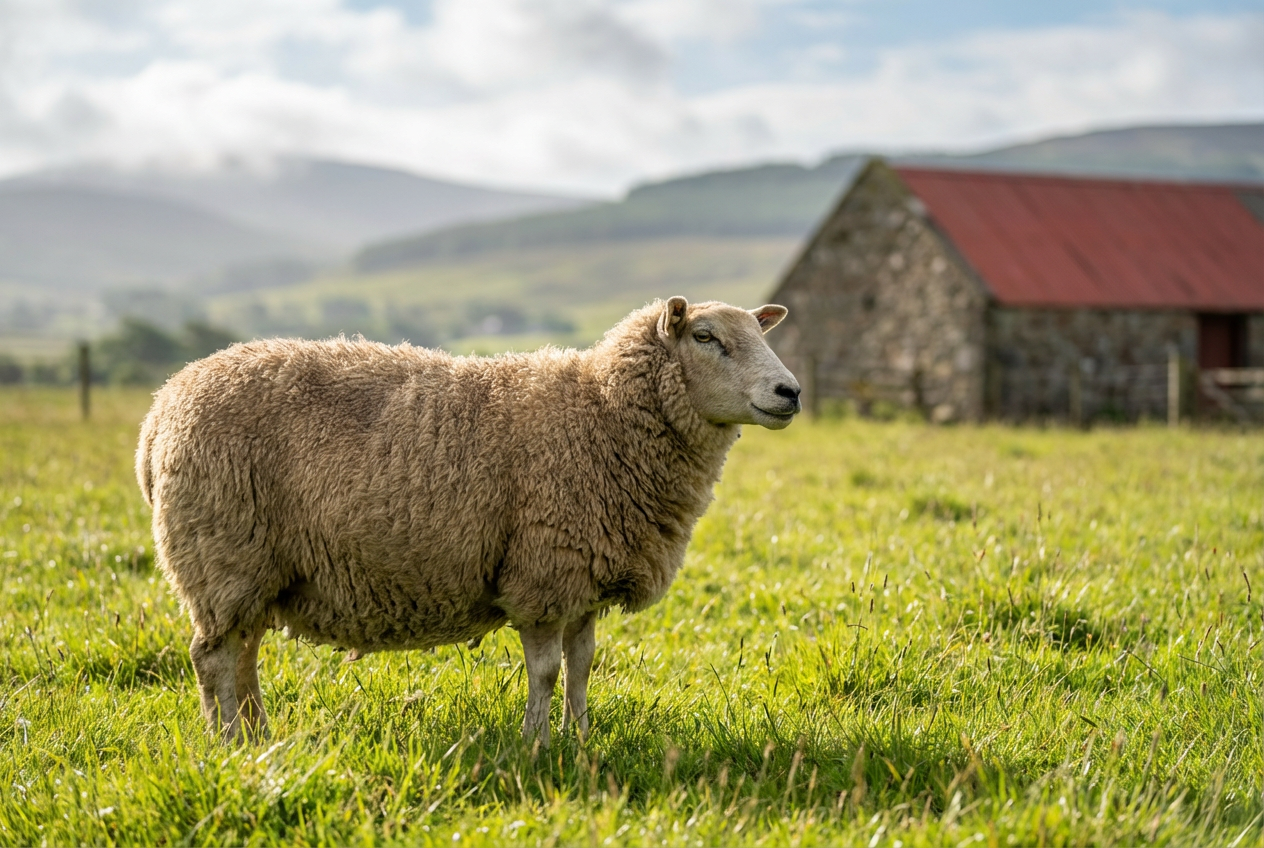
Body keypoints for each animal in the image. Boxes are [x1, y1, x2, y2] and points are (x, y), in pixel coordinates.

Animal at [136, 297, 801, 745]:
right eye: (707, 337)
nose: (789, 391)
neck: (602, 412)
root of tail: (161, 409)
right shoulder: (542, 574)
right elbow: (546, 670)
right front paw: (537, 744)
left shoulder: (585, 577)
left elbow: (582, 666)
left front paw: (581, 738)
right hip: (222, 553)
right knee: (213, 659)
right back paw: (228, 744)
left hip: (252, 568)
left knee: (242, 656)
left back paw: (259, 739)